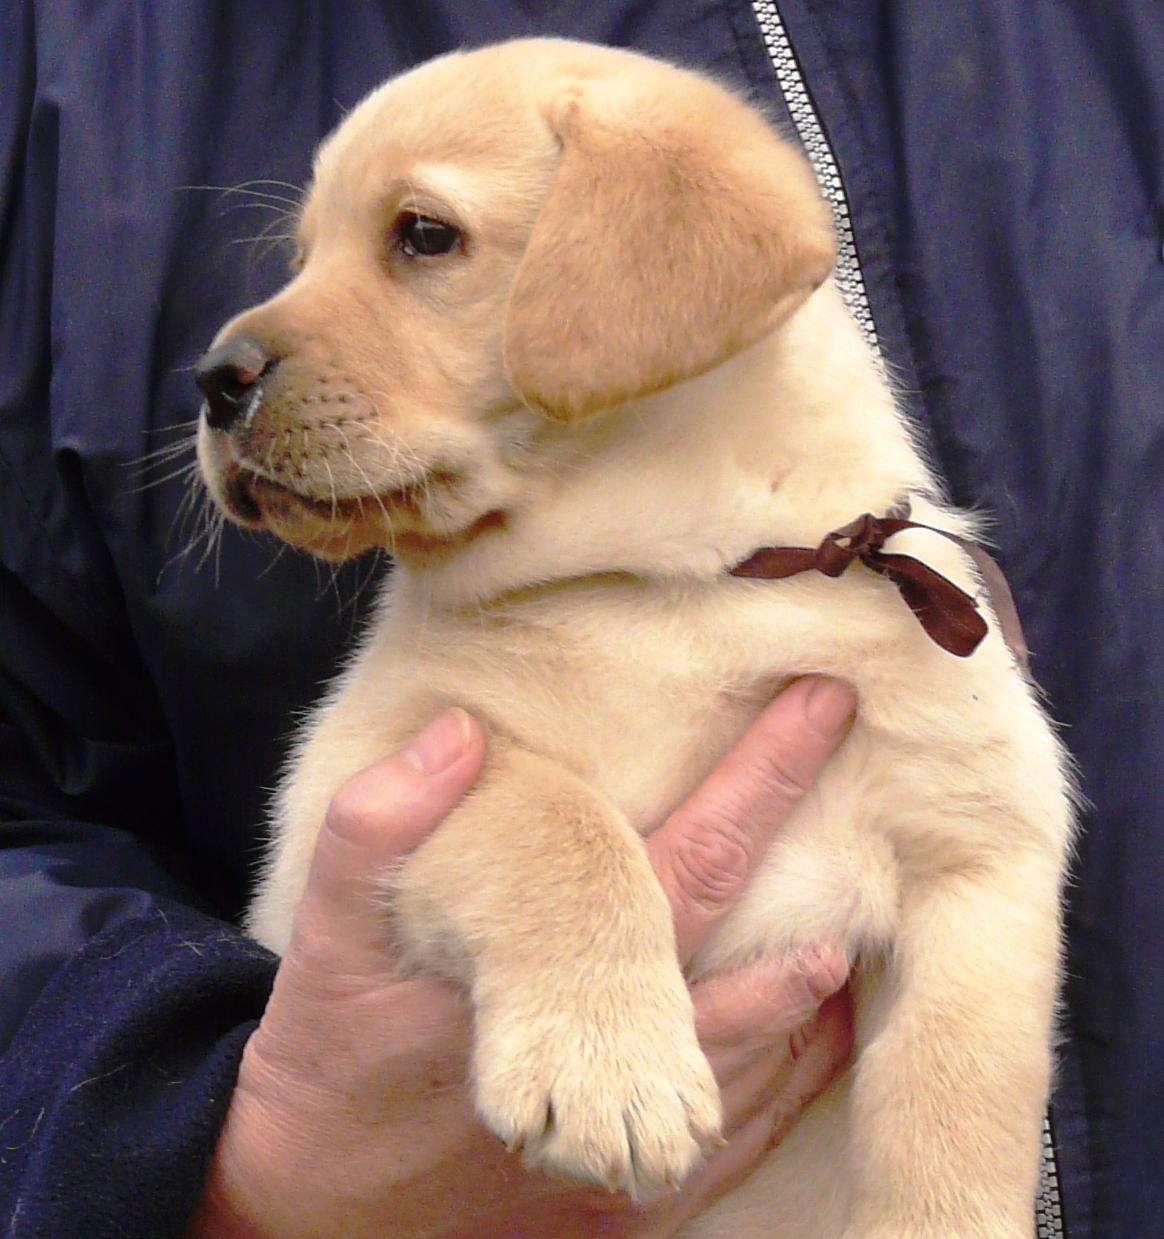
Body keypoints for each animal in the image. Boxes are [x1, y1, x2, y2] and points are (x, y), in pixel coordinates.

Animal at [198, 38, 1075, 1239]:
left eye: (422, 234)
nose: (213, 381)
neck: (685, 586)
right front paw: (609, 1064)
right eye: (301, 255)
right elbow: (556, 821)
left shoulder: (983, 857)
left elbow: (957, 1101)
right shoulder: (370, 773)